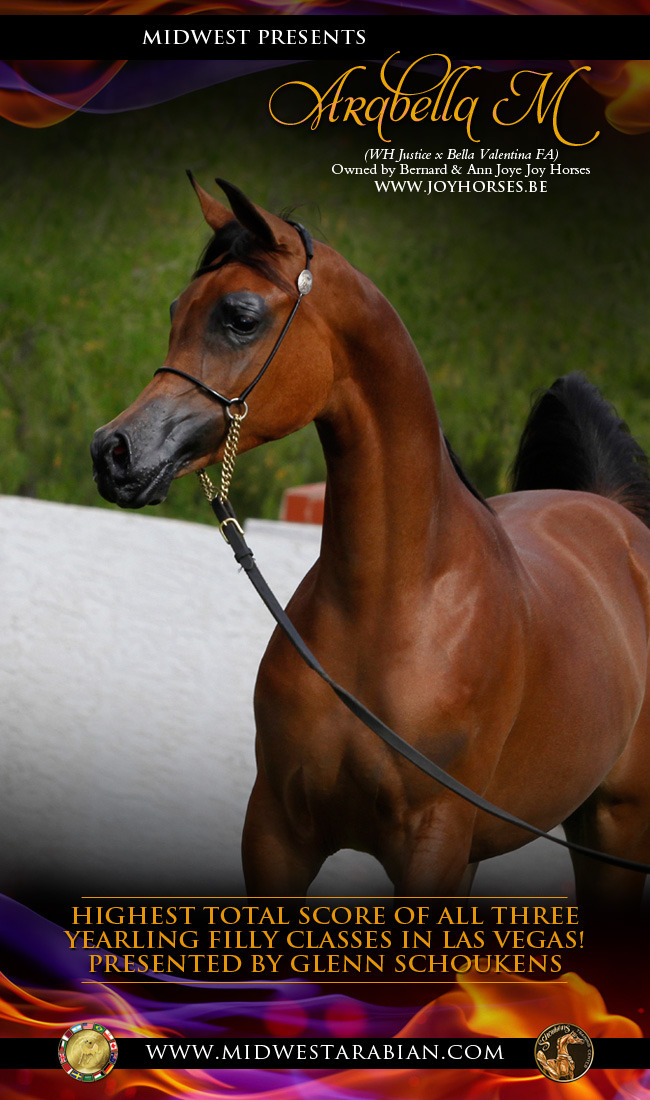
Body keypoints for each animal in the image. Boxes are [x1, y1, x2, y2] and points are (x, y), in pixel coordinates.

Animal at [91, 176, 650, 904]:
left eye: (240, 316)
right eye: (175, 310)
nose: (113, 451)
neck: (392, 608)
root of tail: (614, 512)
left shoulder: (431, 844)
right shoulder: (277, 832)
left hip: (614, 831)